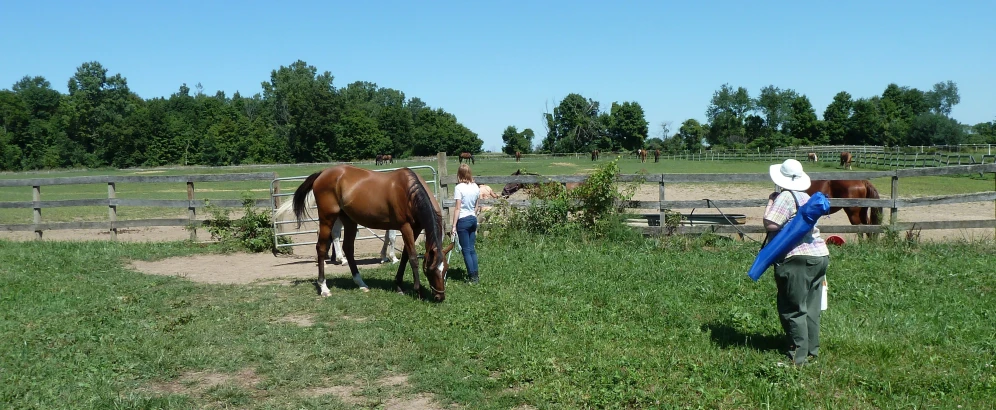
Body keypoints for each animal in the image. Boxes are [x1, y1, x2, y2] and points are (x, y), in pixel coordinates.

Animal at [292, 163, 456, 302]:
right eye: (431, 270)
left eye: (446, 269)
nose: (439, 297)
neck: (409, 192)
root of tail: (322, 173)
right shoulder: (405, 227)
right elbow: (413, 258)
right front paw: (419, 291)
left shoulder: (415, 228)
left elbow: (404, 256)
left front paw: (398, 285)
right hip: (327, 219)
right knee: (321, 248)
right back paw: (324, 287)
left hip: (349, 221)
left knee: (348, 248)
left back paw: (361, 283)